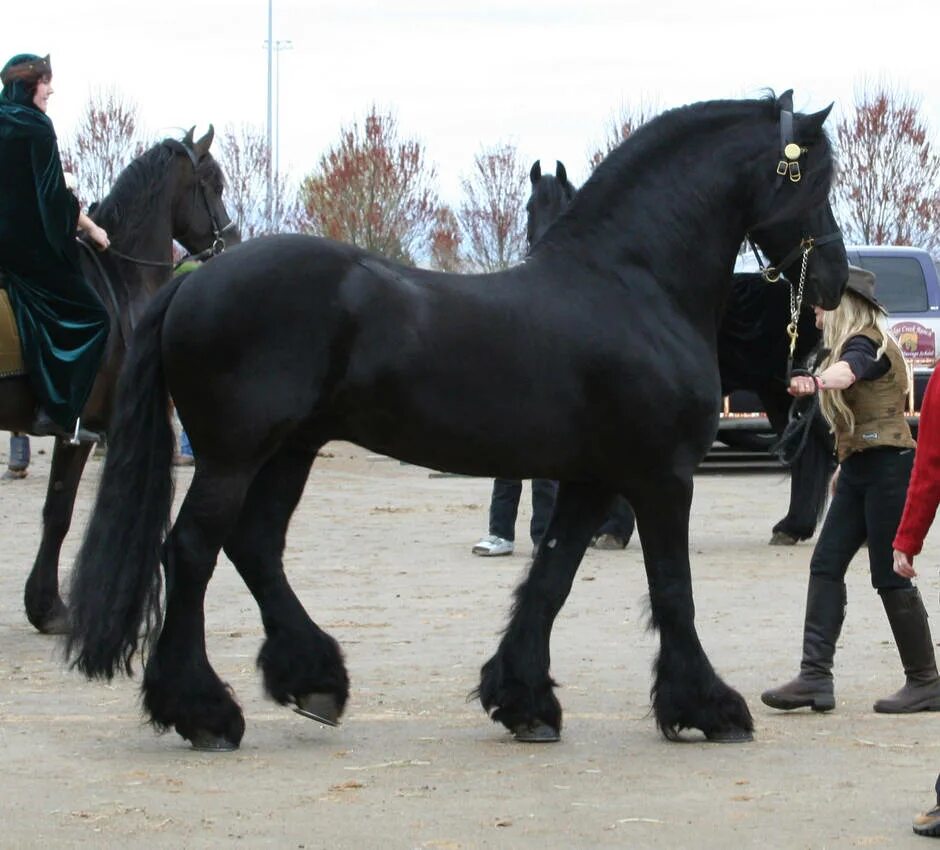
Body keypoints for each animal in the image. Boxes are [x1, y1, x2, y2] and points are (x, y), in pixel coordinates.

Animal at [0, 124, 235, 628]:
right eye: (214, 184)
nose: (234, 237)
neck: (119, 280)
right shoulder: (89, 429)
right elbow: (63, 512)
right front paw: (53, 606)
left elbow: (56, 507)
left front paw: (43, 605)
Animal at [66, 93, 844, 748]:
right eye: (814, 180)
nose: (836, 278)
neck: (632, 285)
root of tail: (194, 283)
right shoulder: (661, 478)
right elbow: (673, 591)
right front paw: (709, 708)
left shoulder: (592, 479)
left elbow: (551, 578)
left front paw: (523, 701)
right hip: (235, 455)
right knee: (191, 551)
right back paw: (204, 711)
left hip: (290, 450)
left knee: (254, 547)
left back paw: (314, 681)